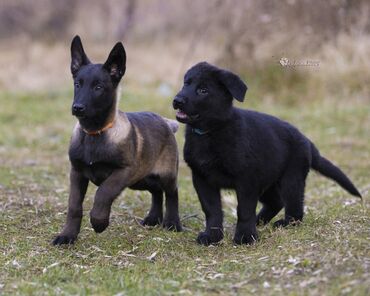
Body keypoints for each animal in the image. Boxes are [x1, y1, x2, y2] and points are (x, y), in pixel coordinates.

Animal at [53, 36, 182, 245]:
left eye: (98, 87)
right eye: (77, 84)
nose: (77, 107)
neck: (95, 133)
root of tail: (167, 123)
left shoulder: (124, 171)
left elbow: (103, 193)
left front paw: (99, 222)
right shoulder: (77, 172)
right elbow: (74, 206)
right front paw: (67, 236)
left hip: (164, 174)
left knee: (171, 192)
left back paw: (172, 223)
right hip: (141, 179)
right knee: (156, 191)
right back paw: (153, 218)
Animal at [173, 61, 362, 245]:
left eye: (203, 90)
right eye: (186, 84)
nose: (177, 100)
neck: (210, 132)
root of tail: (307, 141)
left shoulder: (246, 180)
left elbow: (244, 210)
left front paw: (245, 237)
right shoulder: (202, 178)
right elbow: (212, 210)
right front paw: (212, 236)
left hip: (291, 179)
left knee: (294, 206)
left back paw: (285, 223)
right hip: (268, 179)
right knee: (276, 202)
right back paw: (260, 221)